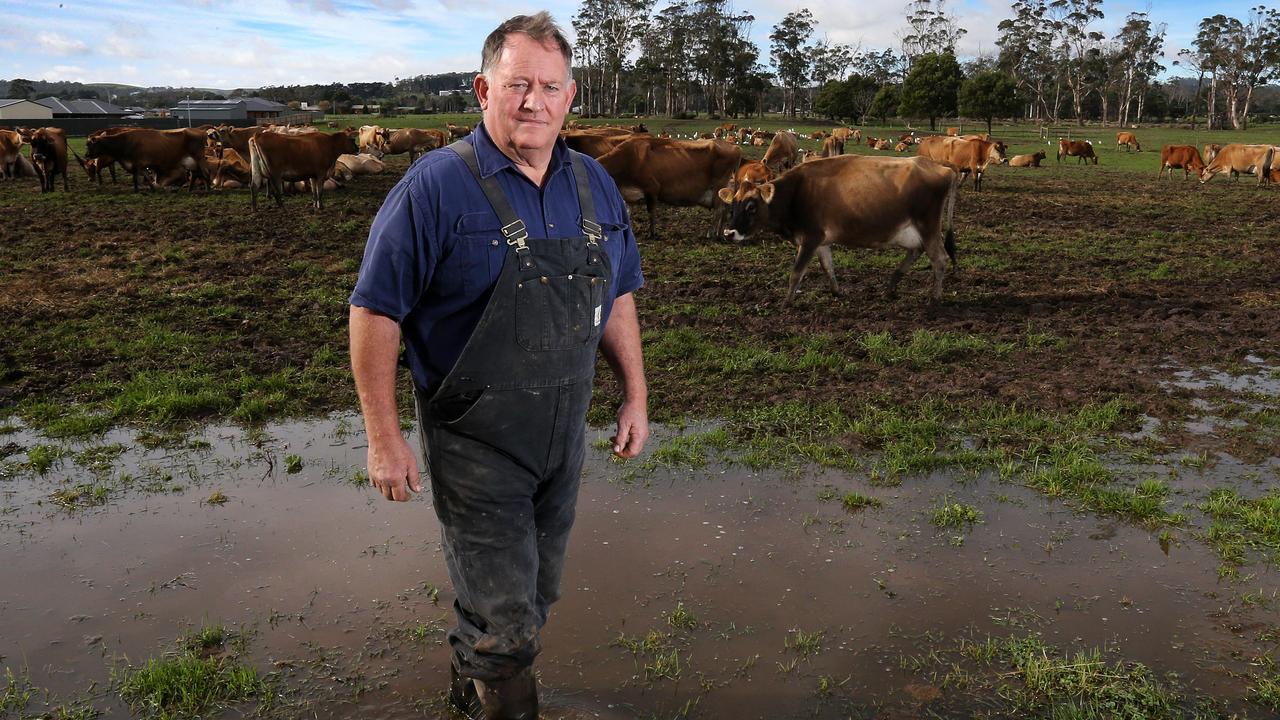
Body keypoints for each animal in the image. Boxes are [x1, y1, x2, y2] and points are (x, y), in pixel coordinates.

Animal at [596, 137, 747, 240]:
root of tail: (735, 147)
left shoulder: (652, 189)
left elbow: (651, 213)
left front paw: (652, 234)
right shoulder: (628, 196)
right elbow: (626, 214)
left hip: (719, 186)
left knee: (719, 210)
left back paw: (711, 233)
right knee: (725, 209)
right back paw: (720, 233)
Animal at [721, 154, 962, 302]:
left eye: (751, 207)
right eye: (734, 205)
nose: (729, 233)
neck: (795, 193)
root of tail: (943, 169)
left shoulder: (810, 238)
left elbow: (796, 273)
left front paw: (786, 303)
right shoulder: (820, 241)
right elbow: (828, 267)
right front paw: (837, 292)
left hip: (928, 226)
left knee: (939, 258)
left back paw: (934, 297)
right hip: (910, 232)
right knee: (916, 251)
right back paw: (891, 287)